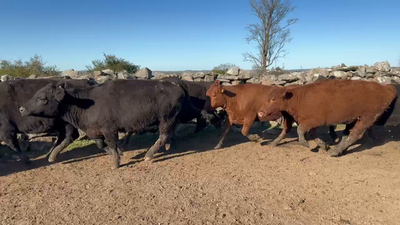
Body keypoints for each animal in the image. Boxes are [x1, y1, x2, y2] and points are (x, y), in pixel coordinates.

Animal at [20, 79, 208, 169]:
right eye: (37, 94)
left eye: (42, 98)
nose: (22, 109)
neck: (86, 103)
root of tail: (176, 84)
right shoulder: (94, 130)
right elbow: (101, 144)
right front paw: (118, 152)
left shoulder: (109, 129)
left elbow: (110, 142)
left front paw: (116, 162)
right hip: (172, 118)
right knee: (170, 133)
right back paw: (168, 147)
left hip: (166, 118)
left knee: (163, 135)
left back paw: (149, 154)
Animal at [258, 79, 396, 156]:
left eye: (273, 99)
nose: (260, 113)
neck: (301, 98)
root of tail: (387, 88)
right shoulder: (309, 122)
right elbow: (310, 133)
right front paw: (323, 145)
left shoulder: (315, 120)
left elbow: (300, 130)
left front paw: (307, 144)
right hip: (355, 119)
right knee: (348, 134)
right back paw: (340, 148)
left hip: (367, 117)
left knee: (355, 135)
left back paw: (335, 151)